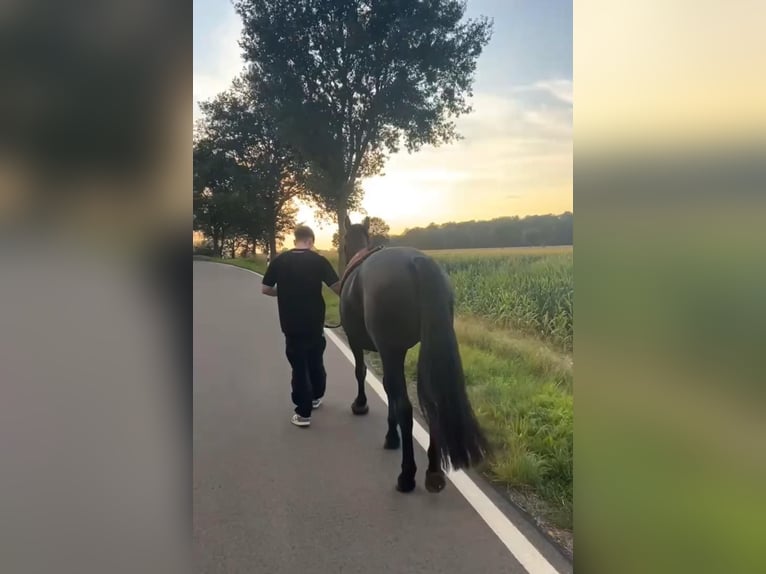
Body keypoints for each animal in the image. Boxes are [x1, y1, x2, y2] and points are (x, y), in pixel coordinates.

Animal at [340, 216, 488, 496]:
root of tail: (418, 262)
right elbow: (388, 389)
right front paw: (391, 435)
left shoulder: (368, 345)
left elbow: (363, 374)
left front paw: (362, 407)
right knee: (432, 402)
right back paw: (433, 471)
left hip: (391, 348)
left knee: (405, 407)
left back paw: (407, 476)